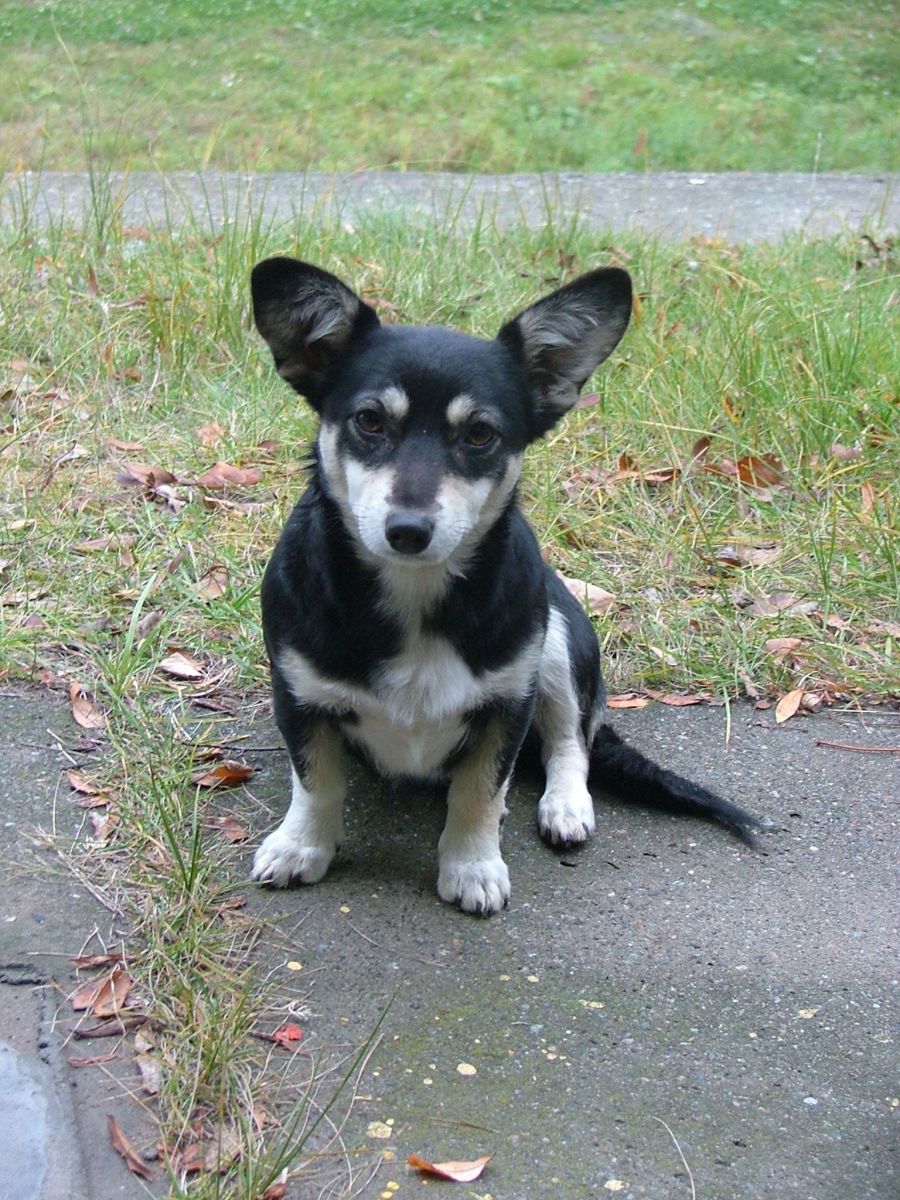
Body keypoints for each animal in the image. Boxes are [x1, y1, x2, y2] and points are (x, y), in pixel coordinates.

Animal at [249, 256, 765, 915]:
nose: (408, 530)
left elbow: (479, 792)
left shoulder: (507, 705)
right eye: (368, 421)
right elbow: (316, 781)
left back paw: (565, 805)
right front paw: (302, 847)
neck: (415, 597)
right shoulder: (300, 697)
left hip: (559, 639)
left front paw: (471, 867)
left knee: (570, 741)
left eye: (479, 435)